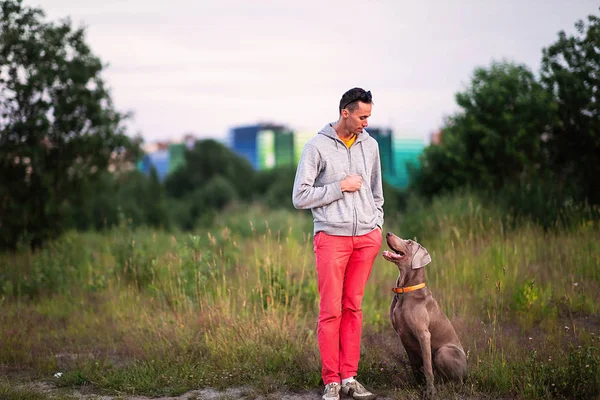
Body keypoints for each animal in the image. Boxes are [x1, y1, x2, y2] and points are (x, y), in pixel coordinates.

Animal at [382, 233, 466, 398]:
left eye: (409, 242)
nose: (388, 233)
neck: (405, 291)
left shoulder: (424, 335)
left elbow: (427, 367)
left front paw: (429, 392)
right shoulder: (403, 337)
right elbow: (415, 366)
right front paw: (417, 386)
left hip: (443, 352)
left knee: (456, 381)